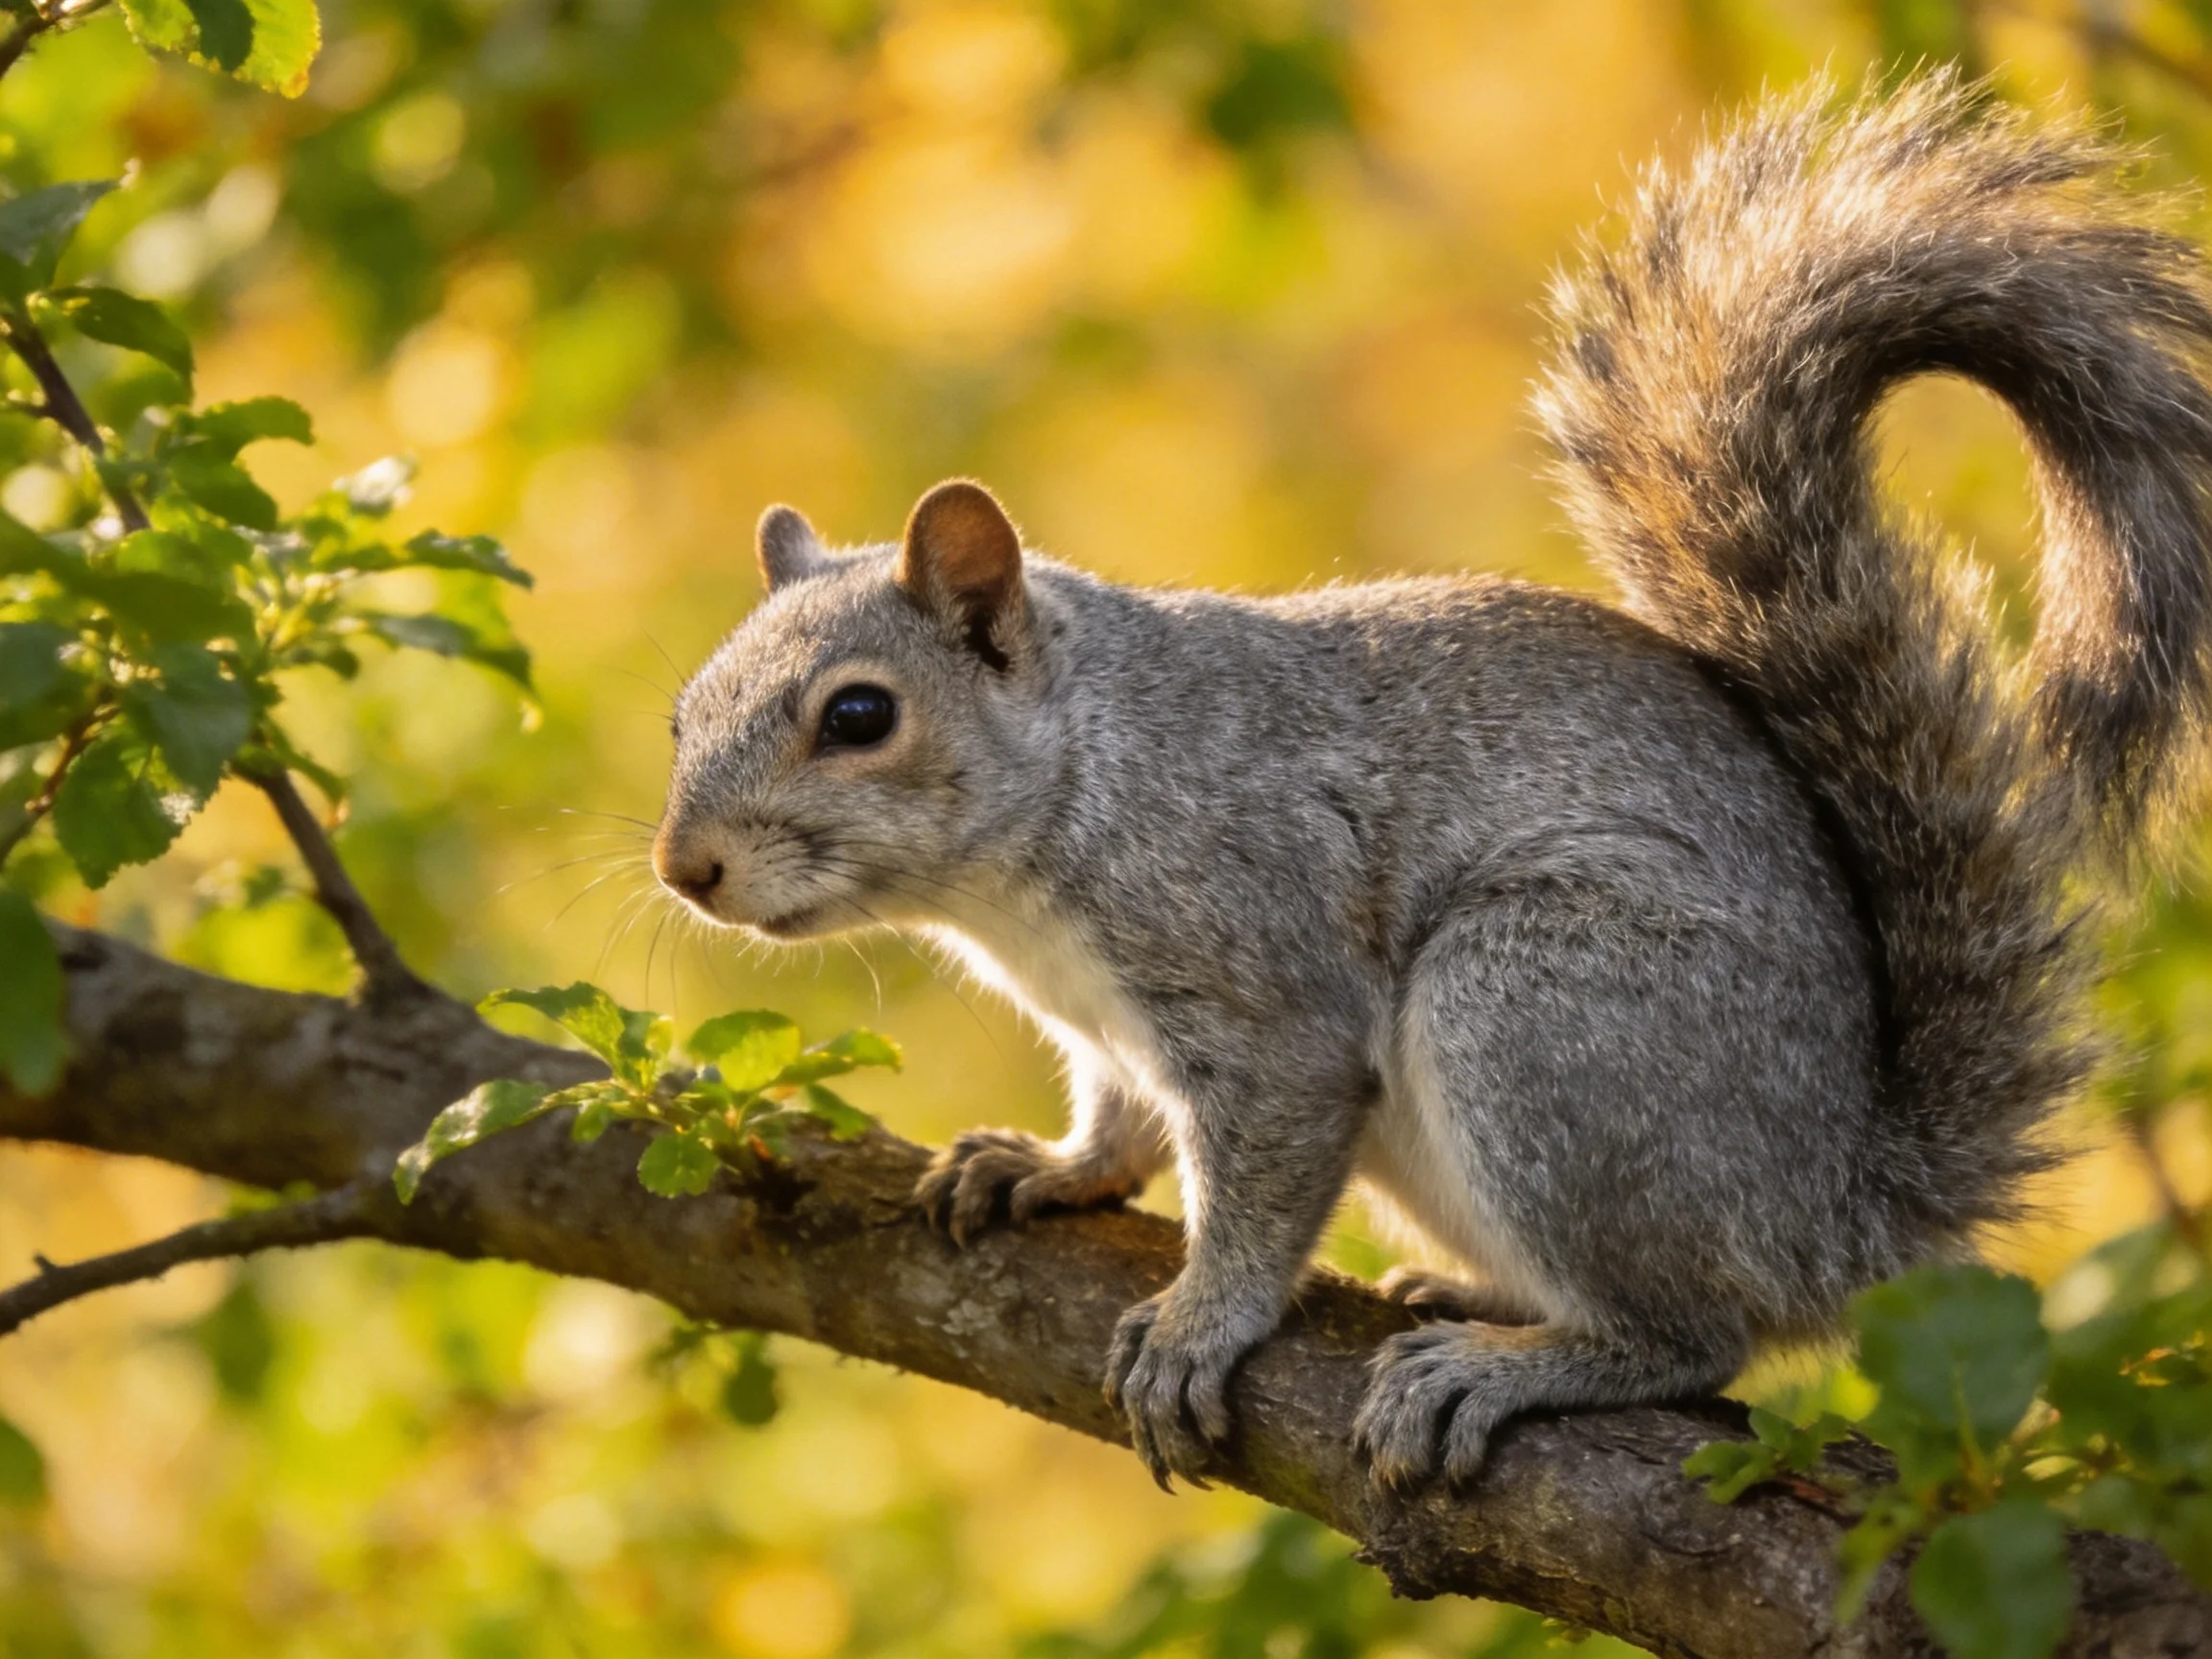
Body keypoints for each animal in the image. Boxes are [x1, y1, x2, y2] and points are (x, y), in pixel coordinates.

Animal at [651, 72, 2212, 1491]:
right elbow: (1119, 1120)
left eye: (860, 714)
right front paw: (1045, 1167)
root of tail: (1843, 1214)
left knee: (1698, 1334)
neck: (1064, 812)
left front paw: (1199, 1325)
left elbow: (1264, 1174)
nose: (686, 868)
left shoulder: (1259, 968)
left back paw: (1518, 1365)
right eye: (680, 713)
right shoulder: (1112, 1032)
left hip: (1546, 1008)